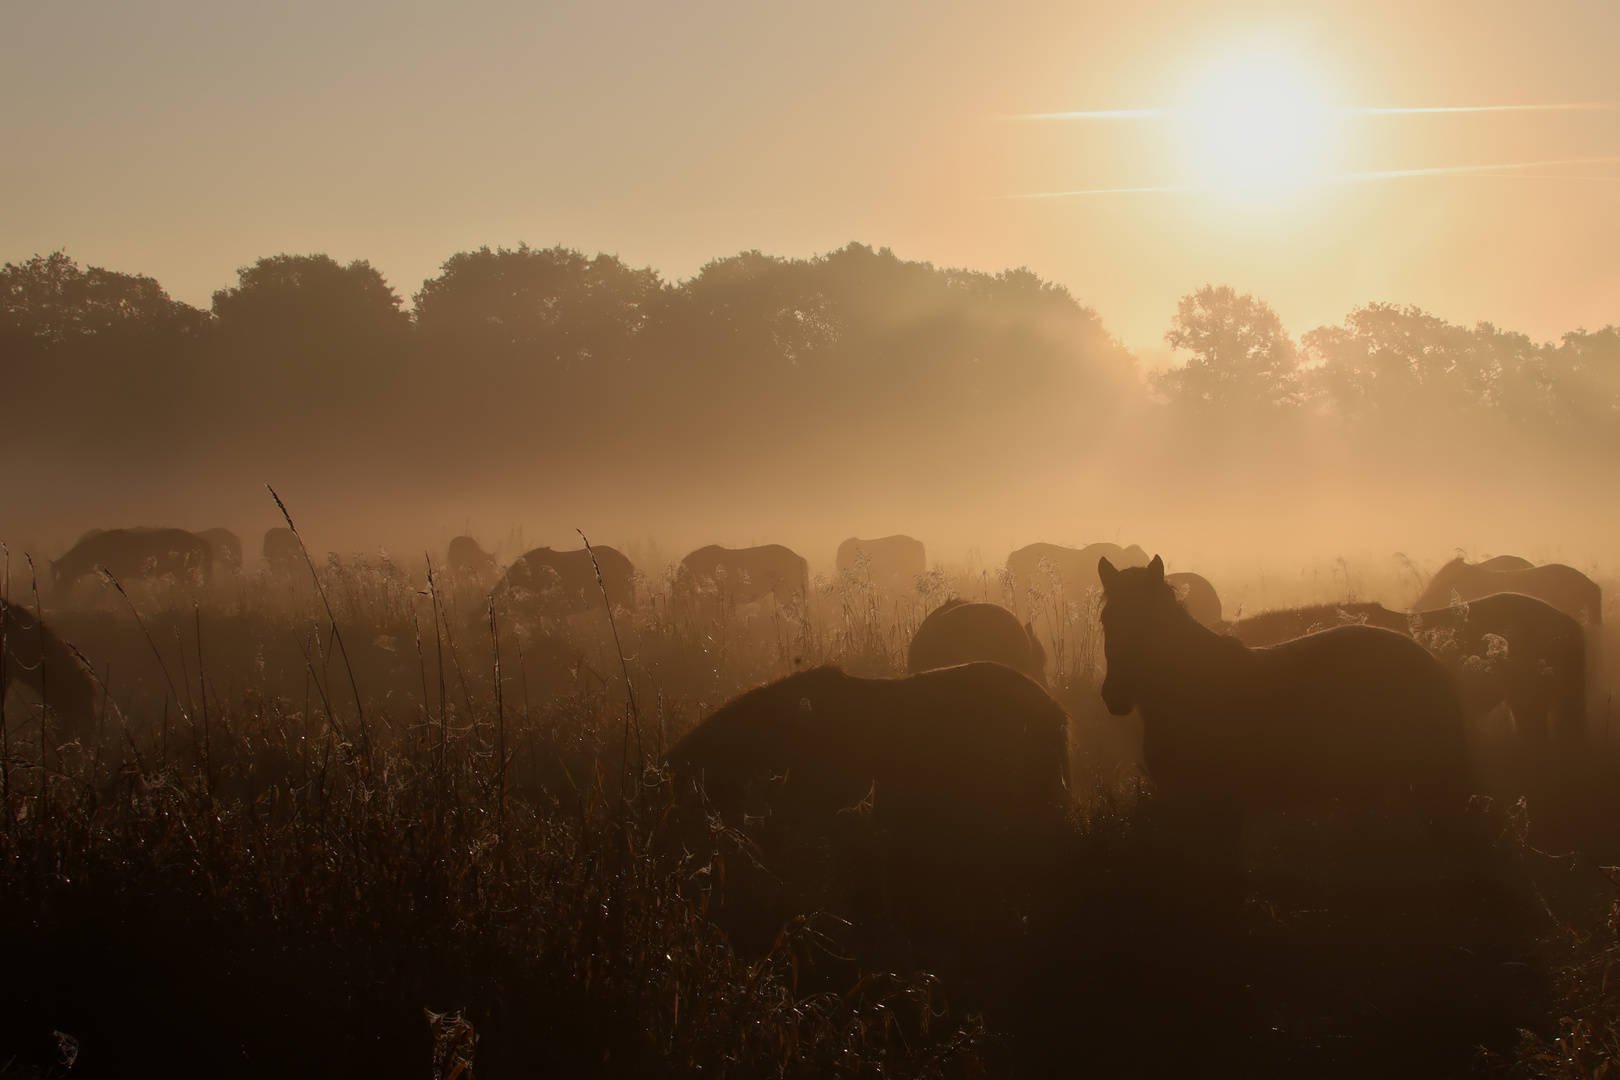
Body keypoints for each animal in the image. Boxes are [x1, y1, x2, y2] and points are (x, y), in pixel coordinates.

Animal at [51, 527, 212, 595]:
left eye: (60, 576)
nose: (57, 597)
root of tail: (200, 541)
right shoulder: (116, 577)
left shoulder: (114, 577)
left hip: (182, 571)